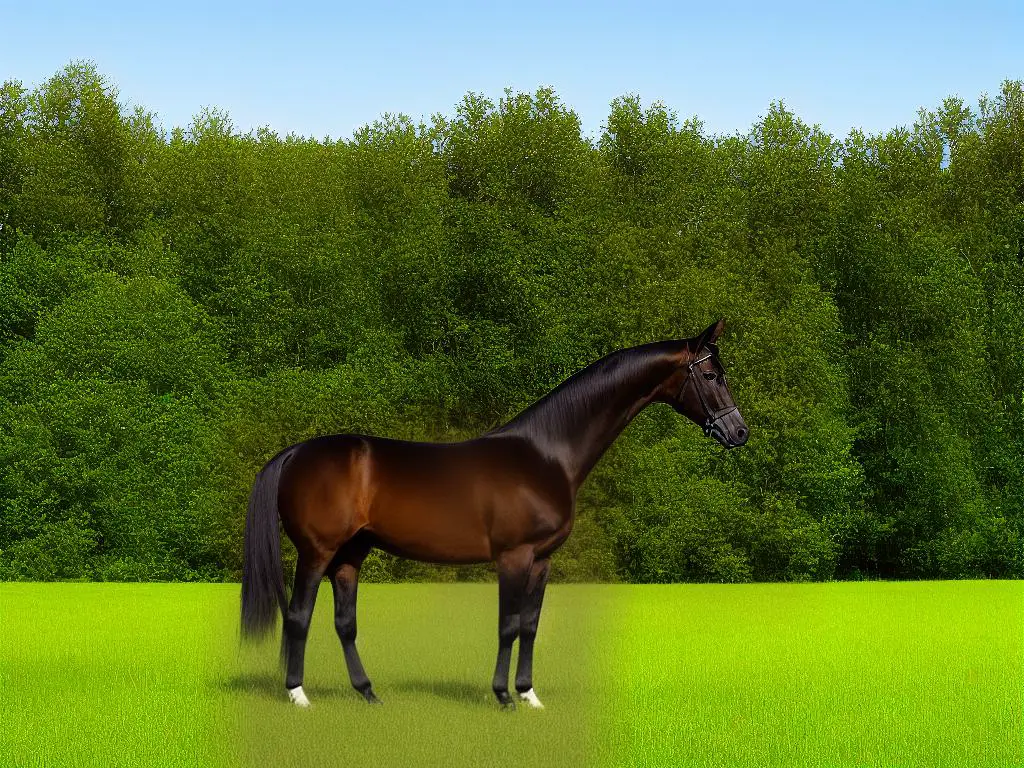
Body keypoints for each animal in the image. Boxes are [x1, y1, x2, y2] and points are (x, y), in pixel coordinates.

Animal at [242, 317, 749, 708]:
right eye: (711, 375)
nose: (739, 432)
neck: (547, 454)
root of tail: (295, 453)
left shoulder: (542, 560)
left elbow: (530, 625)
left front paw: (529, 695)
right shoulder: (514, 555)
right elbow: (507, 625)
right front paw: (504, 697)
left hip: (351, 555)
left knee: (344, 624)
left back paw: (368, 693)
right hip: (317, 552)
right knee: (298, 616)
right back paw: (298, 696)